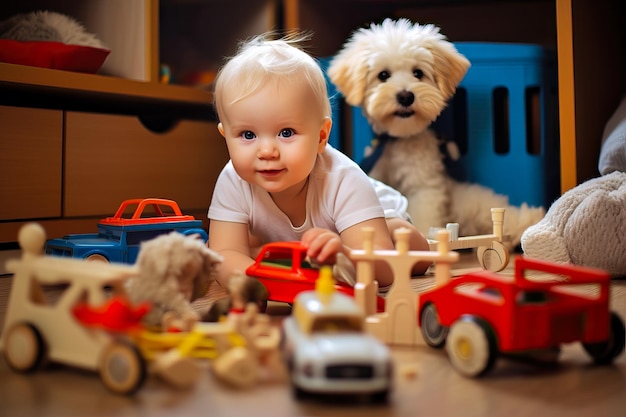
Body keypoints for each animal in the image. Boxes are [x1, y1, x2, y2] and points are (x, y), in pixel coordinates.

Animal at [326, 18, 540, 247]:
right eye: (383, 75)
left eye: (418, 73)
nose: (405, 96)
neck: (399, 138)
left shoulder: (424, 186)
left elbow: (422, 212)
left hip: (472, 202)